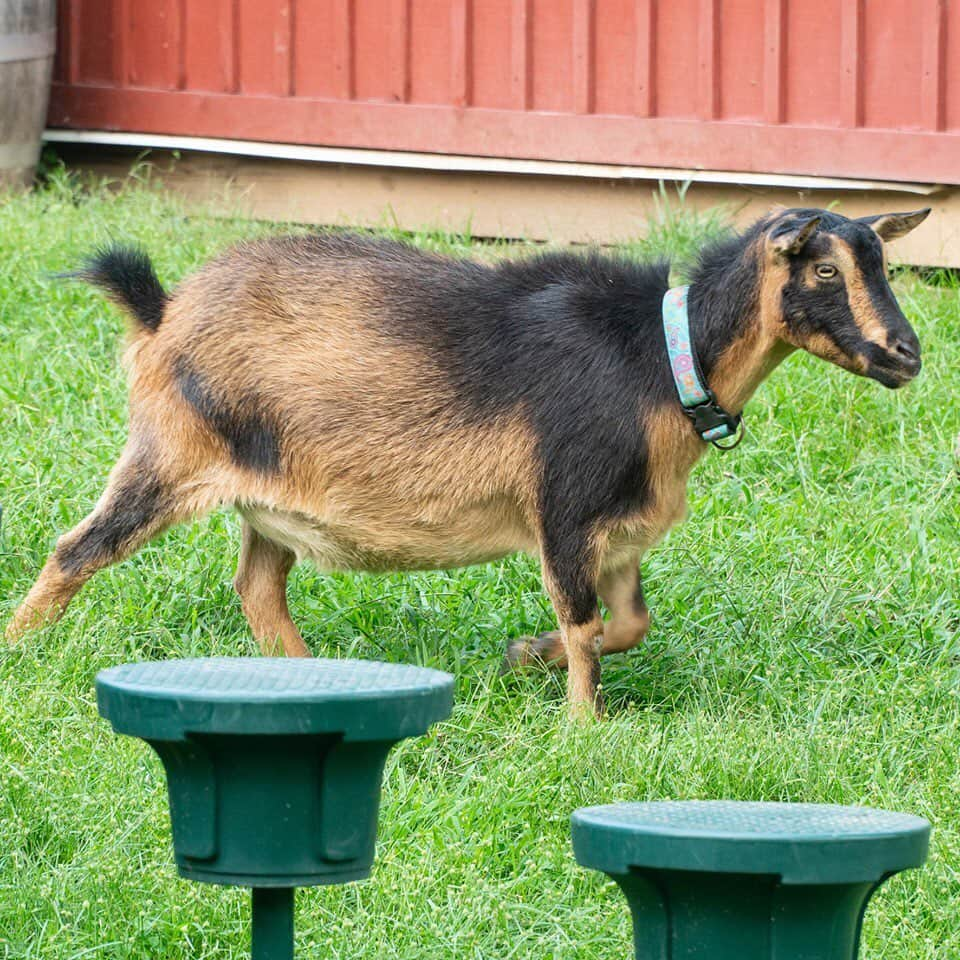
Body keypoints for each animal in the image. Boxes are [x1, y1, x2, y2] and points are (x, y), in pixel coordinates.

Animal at [5, 204, 928, 712]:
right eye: (822, 268)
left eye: (881, 263)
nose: (905, 354)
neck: (660, 359)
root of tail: (162, 312)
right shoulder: (565, 509)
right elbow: (585, 627)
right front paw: (582, 728)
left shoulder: (622, 529)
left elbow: (629, 623)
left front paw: (522, 657)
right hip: (169, 454)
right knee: (78, 549)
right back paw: (21, 651)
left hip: (262, 495)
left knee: (257, 587)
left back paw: (314, 679)